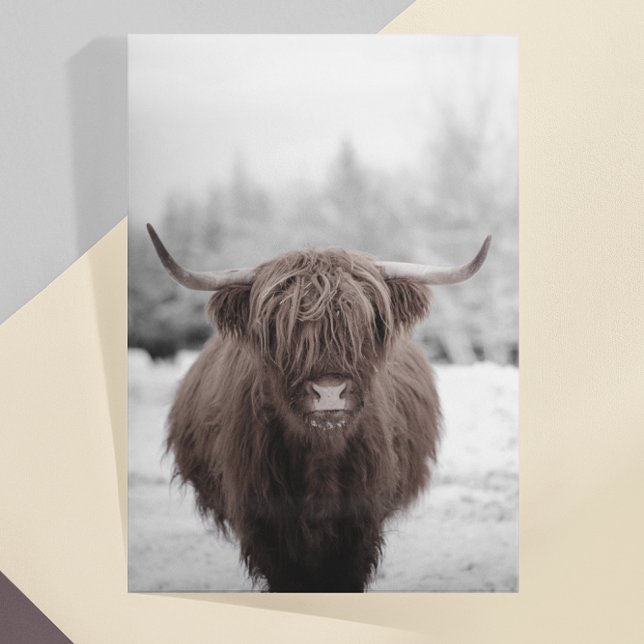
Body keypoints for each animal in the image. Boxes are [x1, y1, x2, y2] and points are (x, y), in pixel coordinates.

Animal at [146, 224, 490, 592]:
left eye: (363, 326)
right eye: (280, 329)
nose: (329, 393)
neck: (319, 458)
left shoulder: (359, 524)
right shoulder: (263, 524)